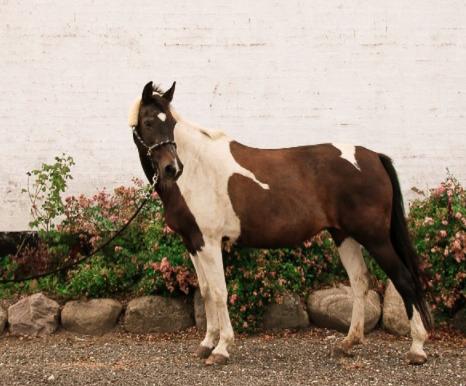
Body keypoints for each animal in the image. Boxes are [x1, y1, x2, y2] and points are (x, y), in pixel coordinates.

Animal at [128, 80, 434, 364]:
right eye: (148, 122)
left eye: (171, 124)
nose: (172, 168)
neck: (197, 169)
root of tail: (374, 157)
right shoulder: (193, 242)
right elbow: (205, 291)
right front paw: (206, 344)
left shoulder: (210, 241)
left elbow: (218, 291)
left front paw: (222, 349)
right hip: (343, 235)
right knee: (359, 282)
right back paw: (349, 342)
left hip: (375, 237)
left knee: (404, 279)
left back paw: (417, 348)